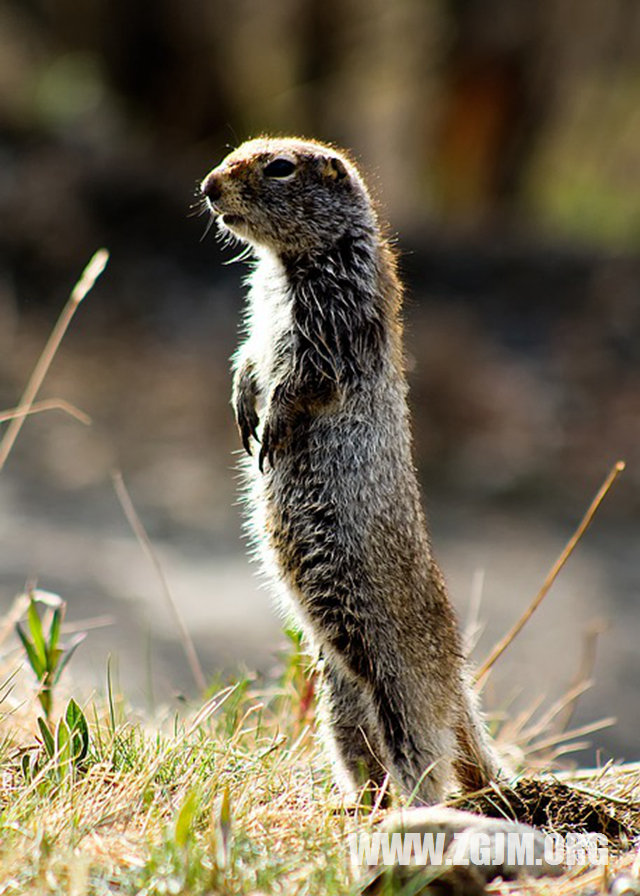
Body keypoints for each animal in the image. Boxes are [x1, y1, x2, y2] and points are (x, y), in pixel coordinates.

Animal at [202, 135, 502, 804]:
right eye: (237, 149)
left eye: (279, 167)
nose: (207, 187)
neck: (289, 265)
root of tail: (458, 680)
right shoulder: (261, 311)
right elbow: (248, 354)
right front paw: (241, 403)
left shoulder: (335, 317)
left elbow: (306, 377)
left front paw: (272, 424)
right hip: (340, 696)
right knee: (366, 757)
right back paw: (353, 805)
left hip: (402, 692)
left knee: (427, 763)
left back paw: (411, 812)